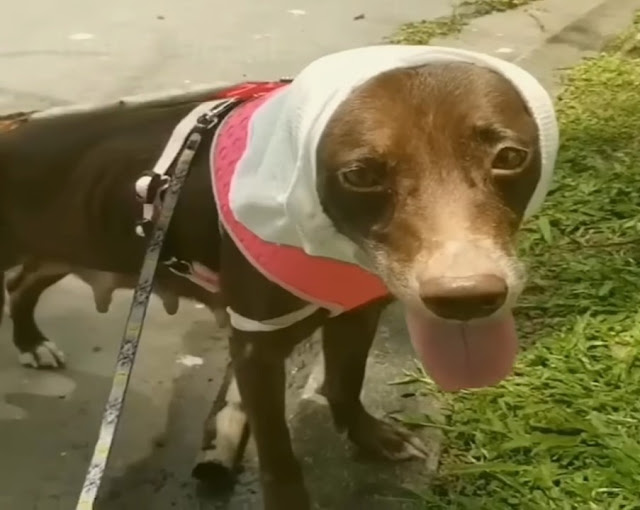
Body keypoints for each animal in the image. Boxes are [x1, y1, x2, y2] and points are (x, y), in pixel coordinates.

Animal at [0, 45, 558, 509]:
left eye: (510, 156)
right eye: (360, 174)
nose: (466, 298)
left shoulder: (357, 312)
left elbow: (345, 382)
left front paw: (371, 439)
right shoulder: (256, 350)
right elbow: (277, 454)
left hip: (61, 251)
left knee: (21, 284)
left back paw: (31, 341)